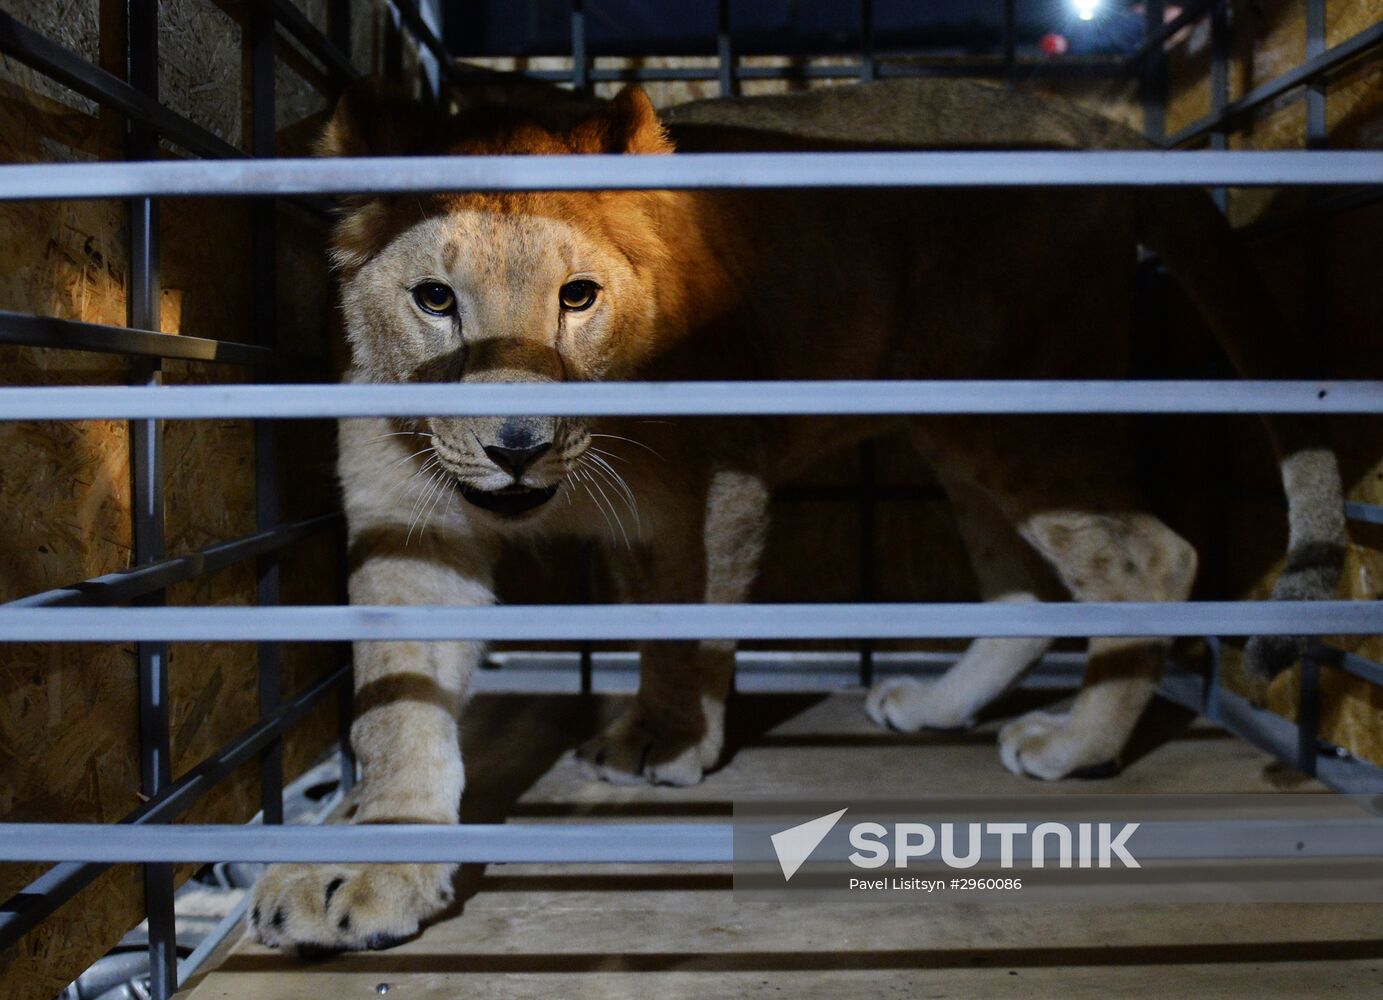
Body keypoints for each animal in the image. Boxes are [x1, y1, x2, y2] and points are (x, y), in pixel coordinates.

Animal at [247, 78, 1345, 954]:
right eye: (436, 299)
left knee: (1148, 556)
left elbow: (681, 630)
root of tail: (1073, 115)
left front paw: (660, 741)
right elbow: (399, 704)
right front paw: (367, 863)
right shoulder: (408, 527)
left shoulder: (714, 485)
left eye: (578, 296)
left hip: (1017, 405)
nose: (515, 442)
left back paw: (1076, 747)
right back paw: (938, 705)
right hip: (957, 427)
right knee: (1026, 589)